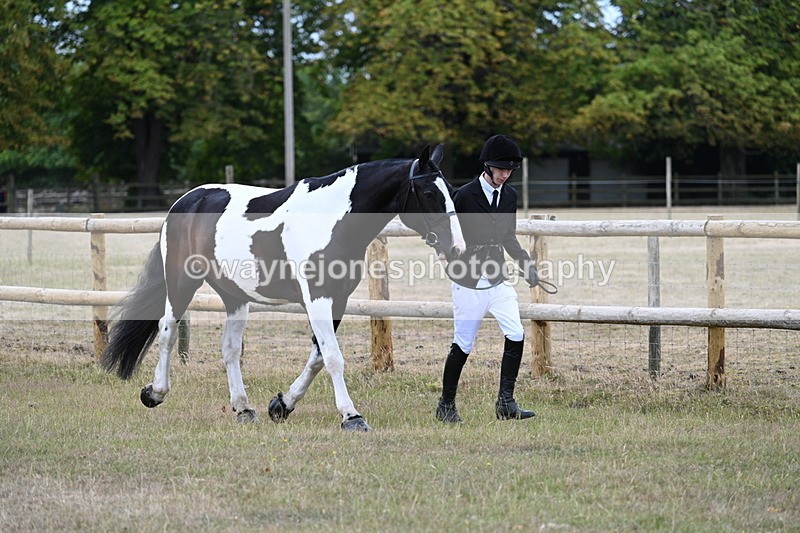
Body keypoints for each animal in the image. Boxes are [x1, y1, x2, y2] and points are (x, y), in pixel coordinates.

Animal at [100, 144, 465, 431]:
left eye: (451, 191)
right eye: (429, 193)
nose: (457, 247)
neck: (331, 219)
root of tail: (185, 201)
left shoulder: (337, 300)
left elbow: (318, 357)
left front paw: (282, 405)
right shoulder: (317, 299)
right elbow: (333, 357)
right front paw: (351, 416)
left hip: (234, 295)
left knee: (229, 348)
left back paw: (243, 408)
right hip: (181, 281)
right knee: (166, 330)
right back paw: (155, 393)